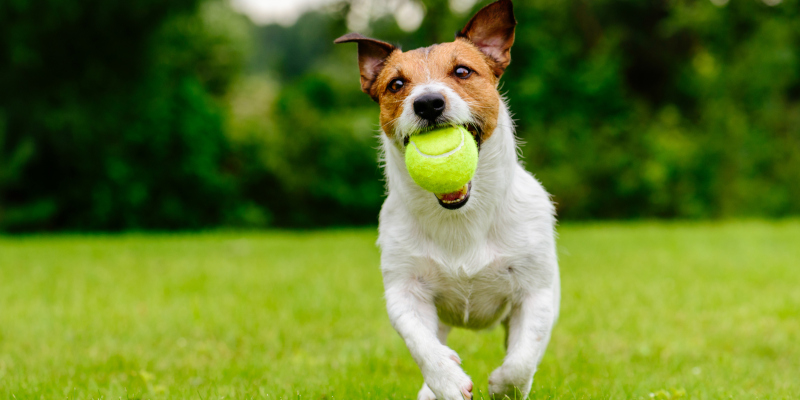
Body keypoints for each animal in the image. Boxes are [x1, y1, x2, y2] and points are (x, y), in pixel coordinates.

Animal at [334, 1, 560, 398]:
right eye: (396, 84)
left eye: (462, 71)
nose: (428, 103)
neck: (461, 217)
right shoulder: (405, 291)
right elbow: (421, 344)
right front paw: (447, 380)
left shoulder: (538, 292)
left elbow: (521, 360)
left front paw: (503, 386)